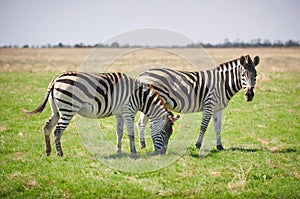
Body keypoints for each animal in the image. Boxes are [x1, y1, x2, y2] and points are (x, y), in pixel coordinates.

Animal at [25, 72, 178, 157]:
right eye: (164, 132)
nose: (163, 154)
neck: (139, 97)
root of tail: (55, 79)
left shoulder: (119, 114)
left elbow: (119, 133)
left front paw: (118, 151)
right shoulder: (128, 112)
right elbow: (130, 133)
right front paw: (133, 152)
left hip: (56, 110)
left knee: (47, 127)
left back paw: (48, 151)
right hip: (68, 109)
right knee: (57, 131)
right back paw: (59, 153)